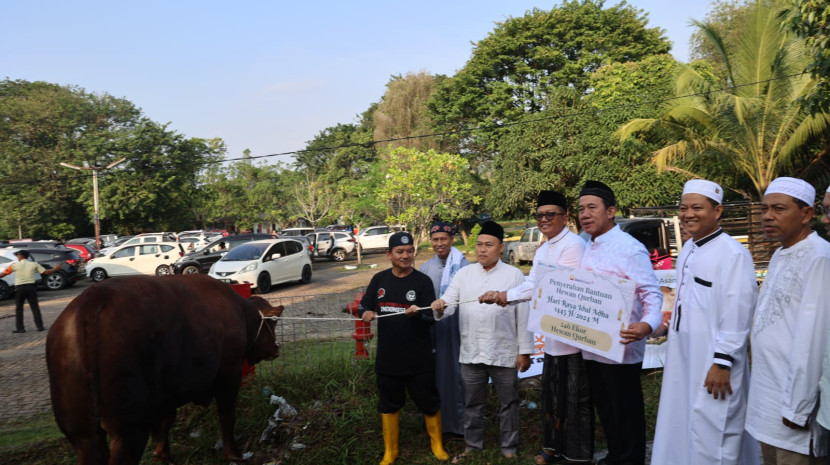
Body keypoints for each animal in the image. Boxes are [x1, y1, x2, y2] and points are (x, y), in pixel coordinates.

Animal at [46, 274, 286, 462]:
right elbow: (227, 416)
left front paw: (162, 454)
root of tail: (92, 300)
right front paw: (234, 454)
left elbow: (165, 423)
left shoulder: (167, 395)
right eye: (272, 323)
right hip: (129, 428)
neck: (240, 312)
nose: (276, 348)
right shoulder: (230, 373)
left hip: (82, 432)